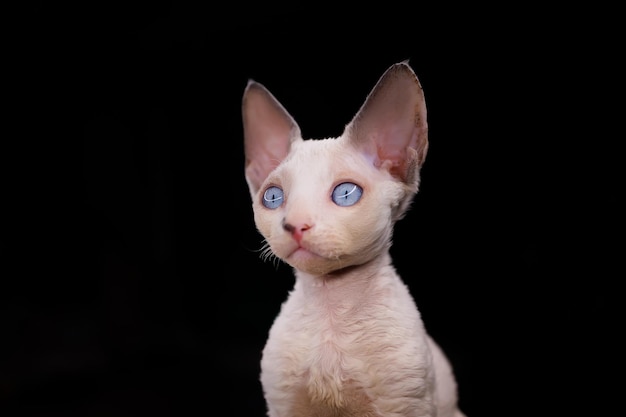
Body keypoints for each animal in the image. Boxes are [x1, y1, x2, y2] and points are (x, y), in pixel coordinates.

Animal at [241, 61, 466, 416]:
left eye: (346, 194)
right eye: (273, 197)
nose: (295, 225)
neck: (330, 307)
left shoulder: (404, 404)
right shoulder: (284, 406)